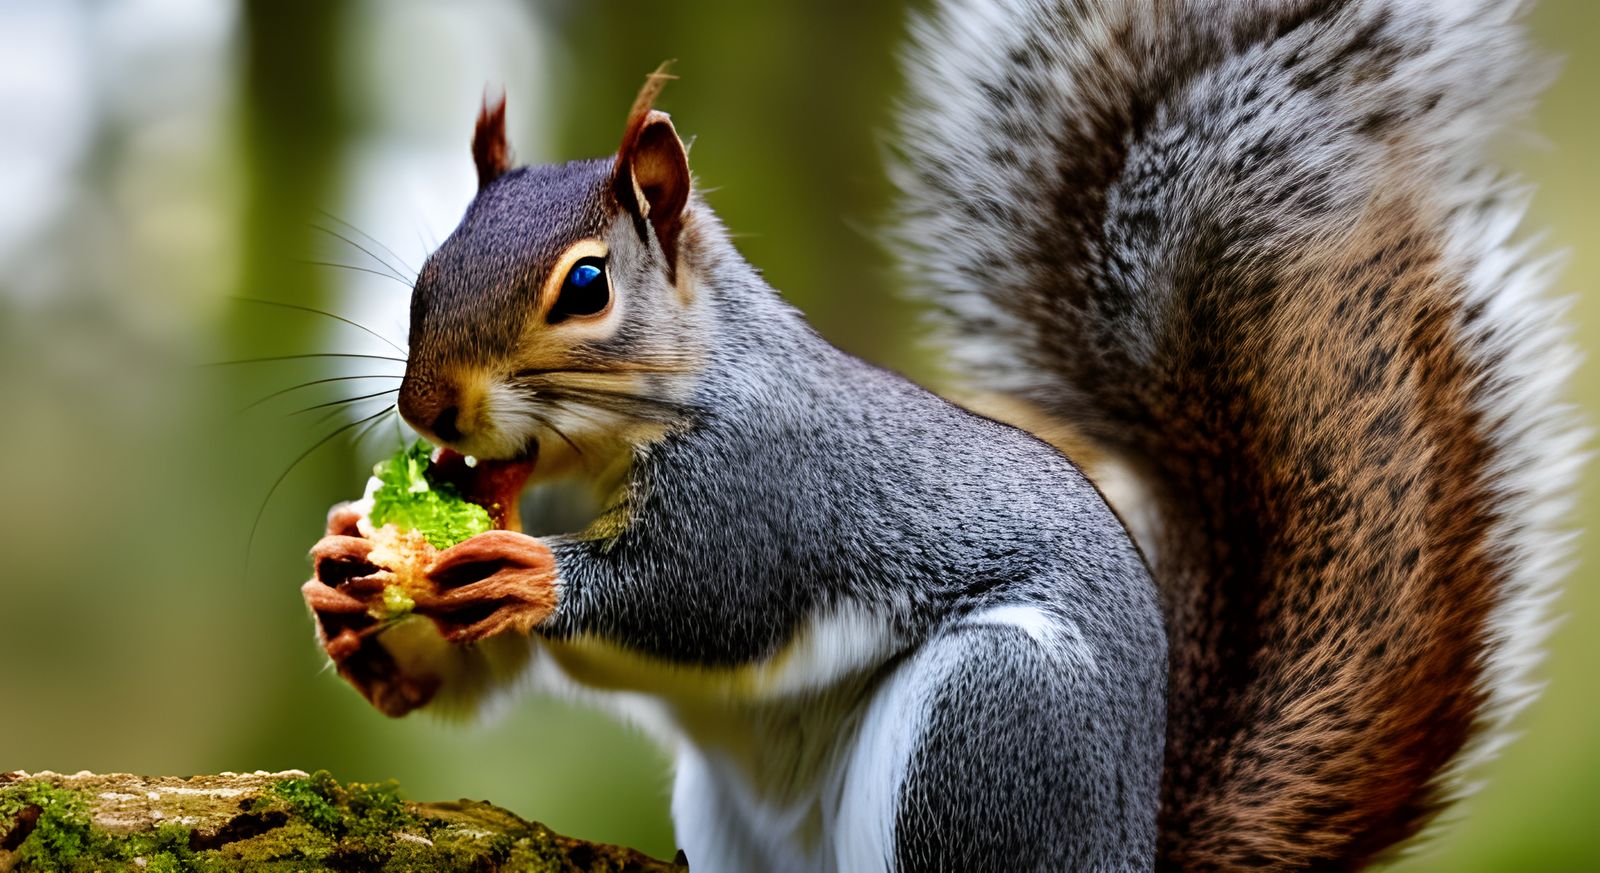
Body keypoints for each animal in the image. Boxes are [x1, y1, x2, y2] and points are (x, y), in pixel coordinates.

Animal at [300, 1, 1581, 870]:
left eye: (585, 287)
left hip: (991, 724)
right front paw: (346, 584)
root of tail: (1125, 844)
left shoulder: (773, 487)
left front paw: (530, 576)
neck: (587, 454)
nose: (430, 410)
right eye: (428, 270)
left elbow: (708, 598)